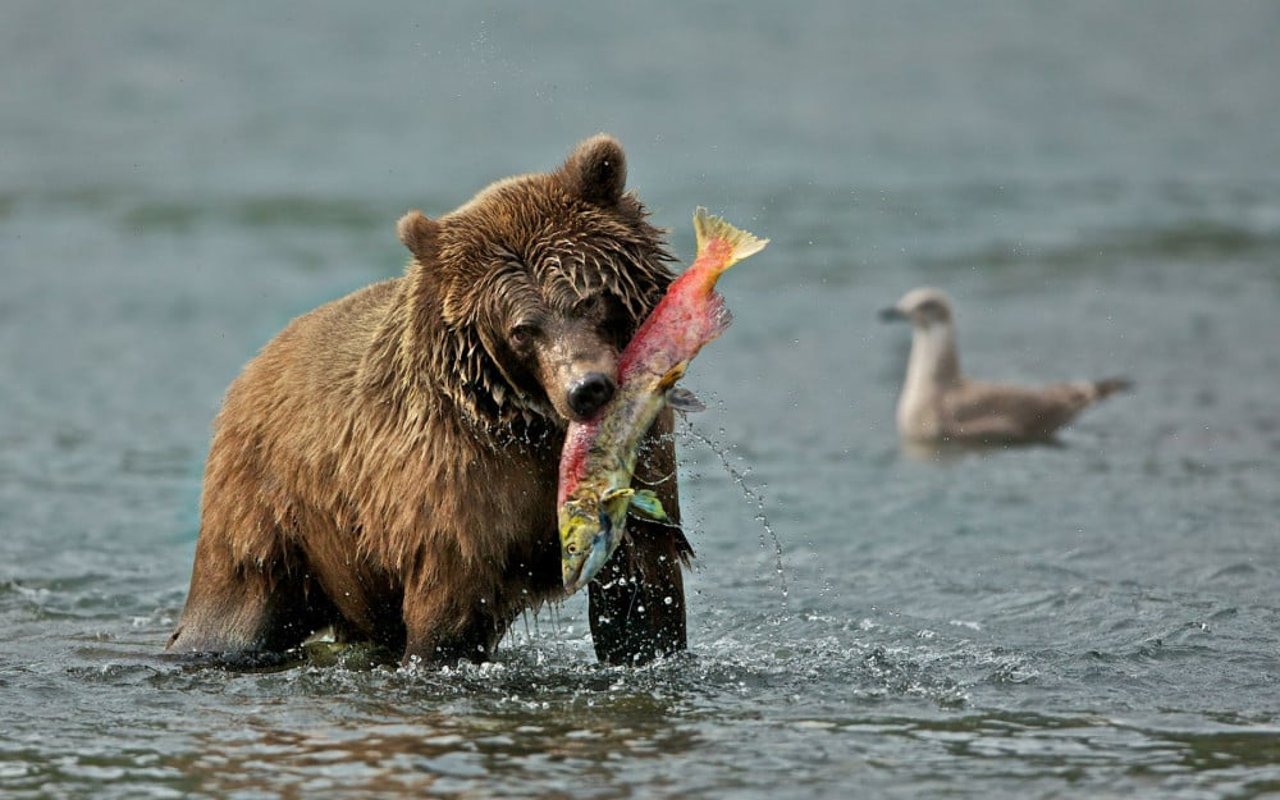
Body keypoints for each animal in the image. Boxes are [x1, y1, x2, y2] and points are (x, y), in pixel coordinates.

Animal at [170, 134, 696, 665]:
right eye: (523, 328)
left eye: (587, 296)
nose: (586, 388)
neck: (529, 422)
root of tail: (253, 368)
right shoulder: (456, 491)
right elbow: (448, 616)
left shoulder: (634, 468)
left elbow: (642, 592)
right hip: (267, 515)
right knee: (232, 610)